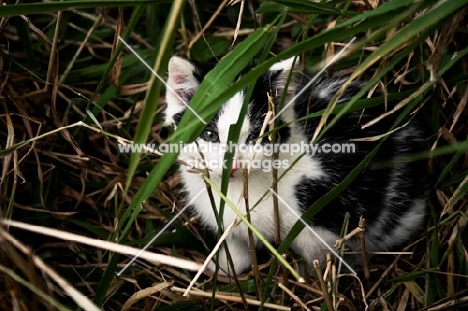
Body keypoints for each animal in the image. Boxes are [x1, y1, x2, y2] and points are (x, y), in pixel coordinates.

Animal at [163, 55, 430, 276]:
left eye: (256, 137)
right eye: (209, 135)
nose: (234, 164)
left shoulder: (322, 215)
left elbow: (320, 256)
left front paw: (311, 278)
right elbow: (237, 243)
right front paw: (224, 267)